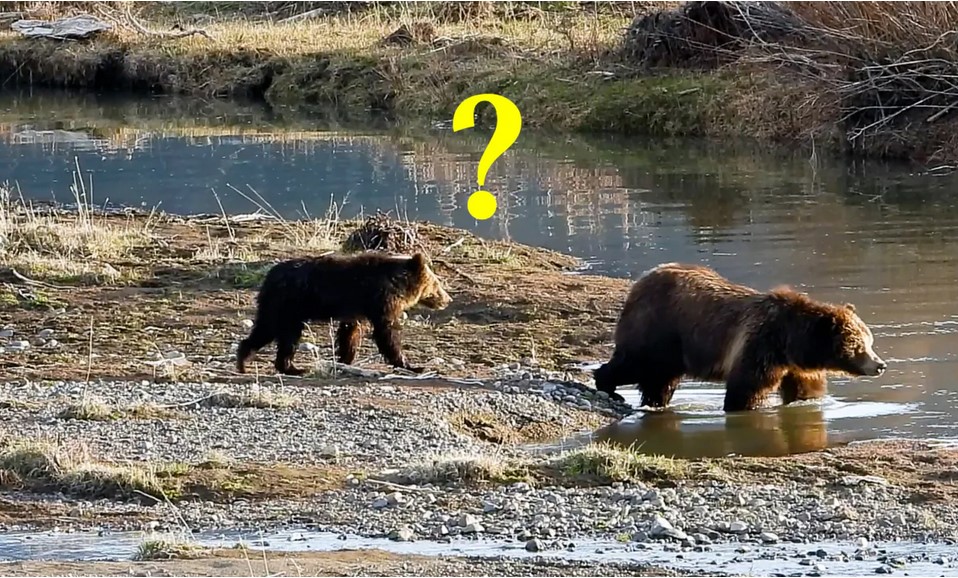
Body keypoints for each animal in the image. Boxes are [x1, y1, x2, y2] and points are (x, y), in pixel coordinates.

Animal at [236, 251, 452, 376]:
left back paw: (251, 361)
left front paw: (344, 360)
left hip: (279, 307)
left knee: (267, 330)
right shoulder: (380, 300)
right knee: (283, 335)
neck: (397, 285)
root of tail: (269, 277)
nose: (447, 299)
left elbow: (350, 332)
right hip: (288, 306)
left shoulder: (357, 309)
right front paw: (412, 365)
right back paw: (288, 367)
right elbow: (387, 332)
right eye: (437, 284)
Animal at [592, 262, 886, 412]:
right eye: (858, 344)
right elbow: (747, 387)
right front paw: (744, 406)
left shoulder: (795, 365)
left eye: (870, 341)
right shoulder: (760, 344)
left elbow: (805, 390)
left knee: (660, 380)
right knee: (635, 363)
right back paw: (608, 386)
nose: (880, 365)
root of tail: (642, 280)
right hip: (659, 329)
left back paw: (655, 402)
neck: (791, 342)